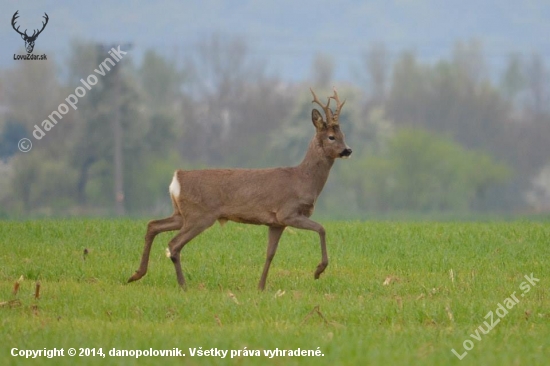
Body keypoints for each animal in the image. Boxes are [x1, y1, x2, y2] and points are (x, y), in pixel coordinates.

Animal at [129, 87, 354, 290]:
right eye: (331, 136)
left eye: (343, 134)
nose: (348, 150)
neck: (304, 180)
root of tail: (177, 178)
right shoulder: (288, 212)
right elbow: (321, 228)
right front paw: (318, 270)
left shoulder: (276, 222)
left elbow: (270, 253)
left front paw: (261, 287)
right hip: (200, 215)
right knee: (174, 244)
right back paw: (183, 285)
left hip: (181, 213)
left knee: (153, 225)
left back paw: (136, 274)